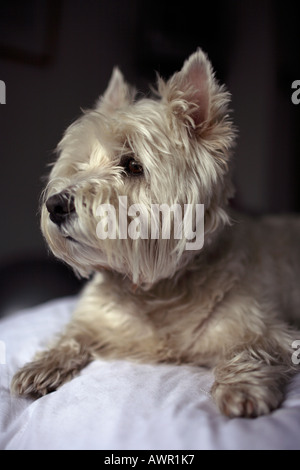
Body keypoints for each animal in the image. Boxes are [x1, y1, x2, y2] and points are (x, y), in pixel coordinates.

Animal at [11, 48, 300, 418]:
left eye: (134, 165)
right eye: (80, 165)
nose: (55, 205)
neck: (155, 290)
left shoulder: (265, 328)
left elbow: (250, 348)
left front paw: (242, 389)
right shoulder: (95, 319)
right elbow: (71, 335)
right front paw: (40, 367)